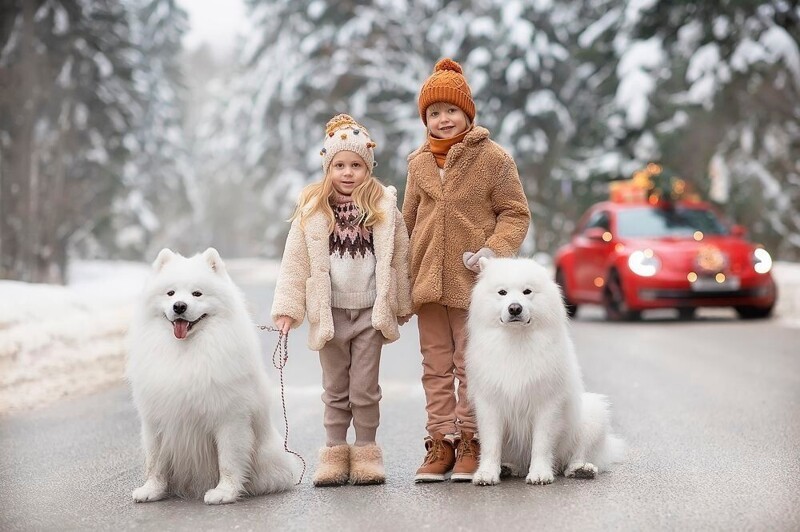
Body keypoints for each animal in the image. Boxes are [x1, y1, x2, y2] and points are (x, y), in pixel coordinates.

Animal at [126, 247, 296, 504]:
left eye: (197, 294)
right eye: (170, 293)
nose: (179, 306)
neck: (185, 350)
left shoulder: (229, 418)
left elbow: (228, 460)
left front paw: (224, 492)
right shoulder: (155, 420)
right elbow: (155, 461)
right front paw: (151, 491)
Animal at [466, 258, 628, 486]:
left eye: (527, 292)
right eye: (502, 293)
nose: (515, 308)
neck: (516, 340)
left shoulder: (547, 405)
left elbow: (541, 444)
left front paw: (540, 473)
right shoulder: (490, 405)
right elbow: (491, 444)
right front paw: (487, 473)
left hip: (593, 416)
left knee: (576, 455)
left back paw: (581, 469)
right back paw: (508, 468)